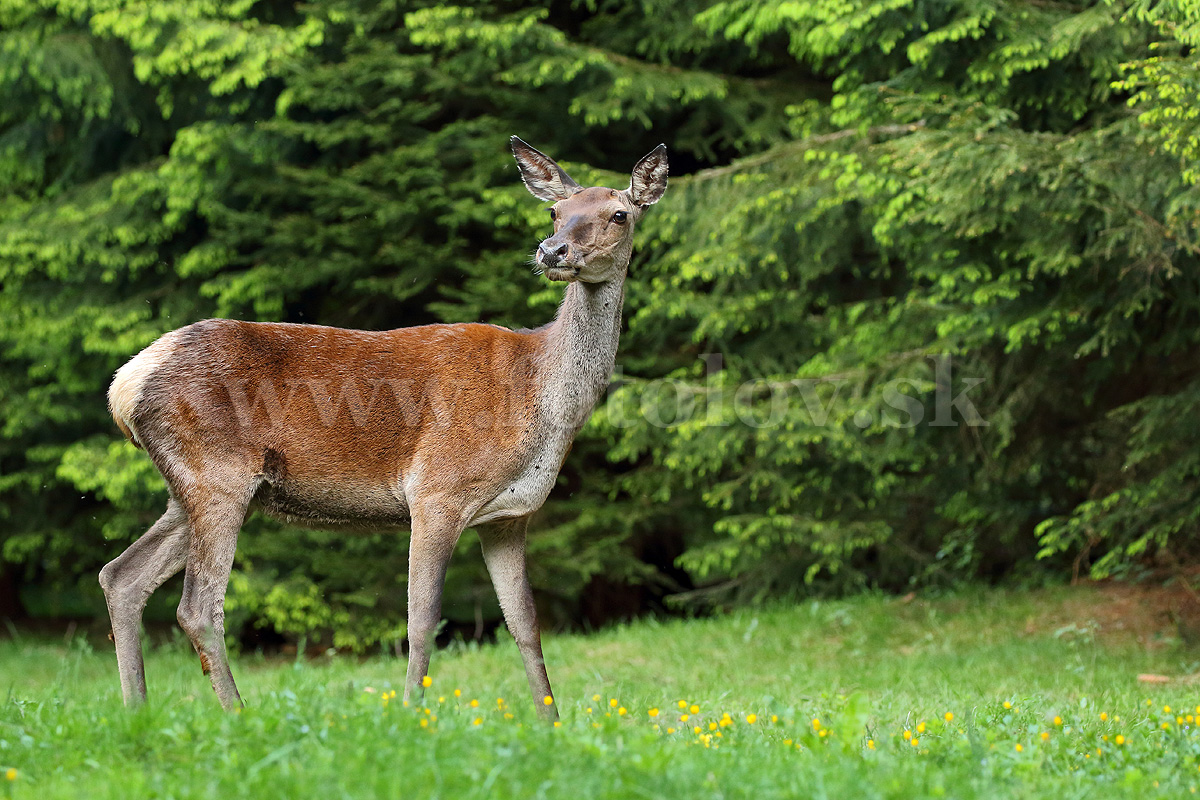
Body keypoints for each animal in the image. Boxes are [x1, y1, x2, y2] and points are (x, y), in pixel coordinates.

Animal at [98, 137, 672, 719]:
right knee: (197, 608)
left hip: (194, 488)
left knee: (122, 576)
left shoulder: (510, 517)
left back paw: (136, 712)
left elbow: (526, 626)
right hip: (216, 474)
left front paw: (550, 723)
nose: (552, 251)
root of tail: (124, 385)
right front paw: (411, 715)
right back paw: (237, 715)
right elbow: (422, 619)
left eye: (619, 214)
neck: (540, 397)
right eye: (556, 211)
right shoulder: (437, 490)